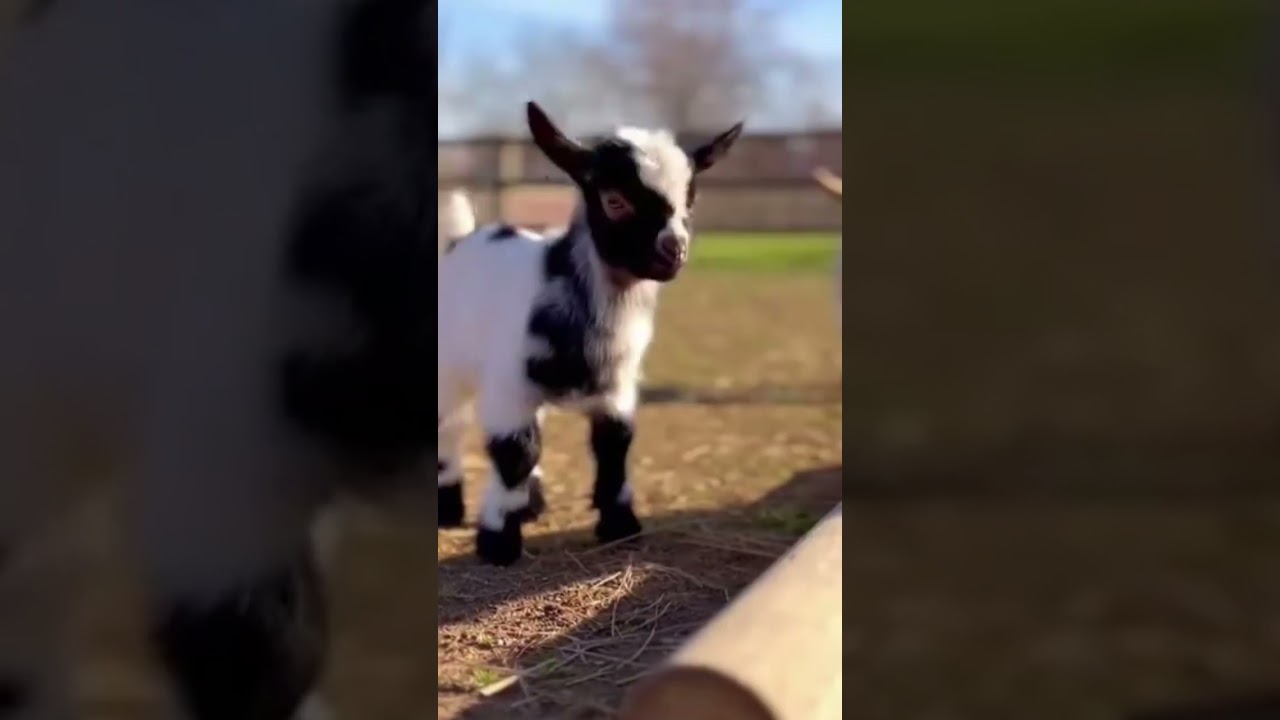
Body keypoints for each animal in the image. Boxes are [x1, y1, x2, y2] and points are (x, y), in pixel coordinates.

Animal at [437, 102, 744, 566]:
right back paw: (449, 508)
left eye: (689, 200)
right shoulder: (508, 384)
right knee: (450, 425)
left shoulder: (617, 387)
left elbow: (614, 446)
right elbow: (514, 452)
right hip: (450, 365)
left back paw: (531, 503)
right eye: (614, 200)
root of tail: (460, 240)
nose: (674, 251)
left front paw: (620, 525)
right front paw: (498, 541)